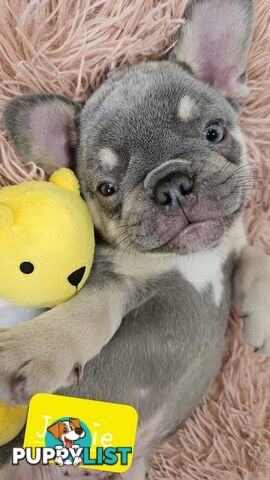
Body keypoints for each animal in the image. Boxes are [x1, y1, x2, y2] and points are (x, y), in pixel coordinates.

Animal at [0, 0, 270, 480]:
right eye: (107, 189)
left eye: (214, 132)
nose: (172, 185)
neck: (194, 256)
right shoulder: (117, 281)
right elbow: (83, 316)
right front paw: (32, 350)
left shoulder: (232, 241)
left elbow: (256, 253)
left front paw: (259, 318)